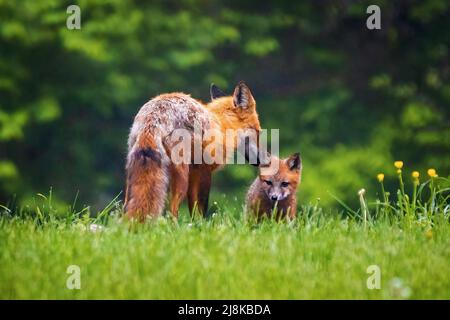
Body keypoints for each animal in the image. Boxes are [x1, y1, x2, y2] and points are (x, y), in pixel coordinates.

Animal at [125, 81, 262, 221]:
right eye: (257, 131)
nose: (261, 160)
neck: (221, 125)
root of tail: (154, 117)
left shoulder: (194, 173)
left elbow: (194, 209)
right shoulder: (203, 170)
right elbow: (200, 209)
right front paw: (201, 225)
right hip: (181, 178)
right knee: (172, 210)